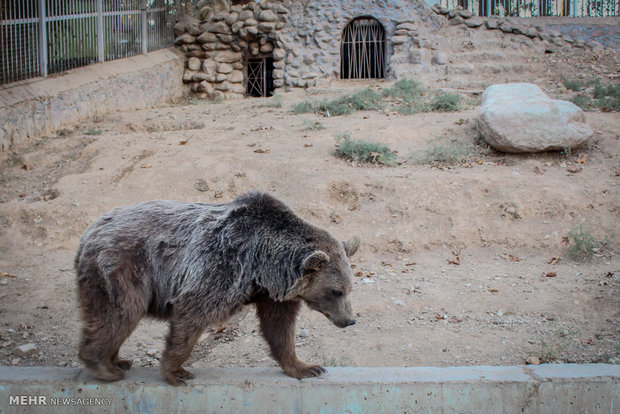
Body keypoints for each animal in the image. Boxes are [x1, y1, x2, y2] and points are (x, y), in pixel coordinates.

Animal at [75, 192, 360, 386]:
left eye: (349, 288)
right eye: (336, 291)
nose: (349, 320)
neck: (263, 267)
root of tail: (89, 231)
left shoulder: (272, 295)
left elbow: (279, 329)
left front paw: (306, 367)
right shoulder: (223, 265)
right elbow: (192, 311)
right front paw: (176, 372)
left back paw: (117, 361)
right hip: (123, 267)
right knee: (119, 313)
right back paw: (104, 367)